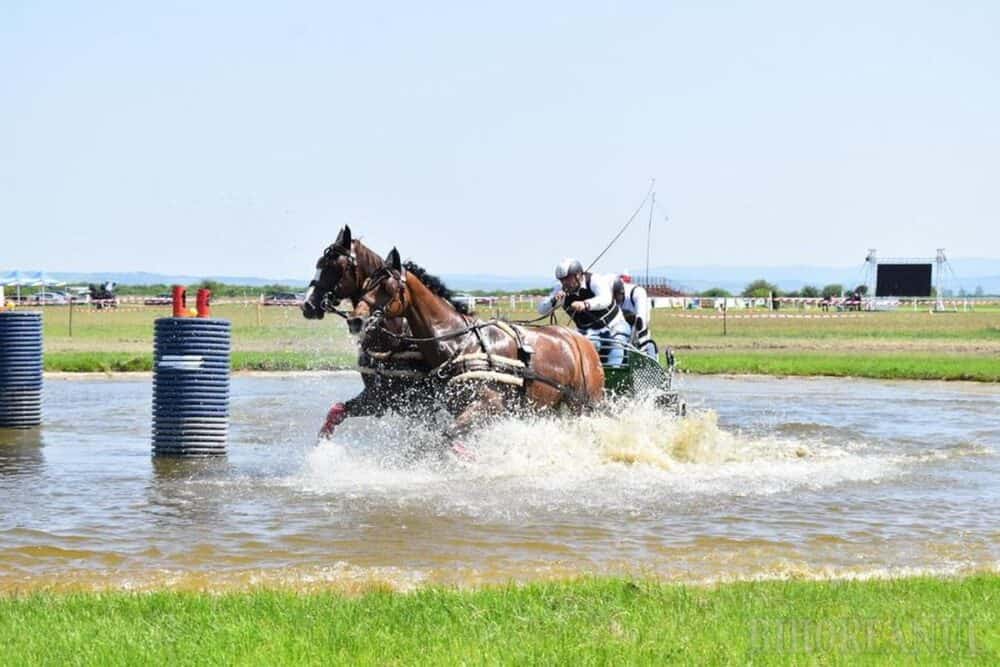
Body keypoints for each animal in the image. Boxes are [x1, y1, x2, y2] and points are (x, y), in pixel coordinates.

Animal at [348, 248, 604, 440]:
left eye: (387, 287)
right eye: (367, 284)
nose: (355, 320)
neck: (458, 342)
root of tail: (583, 342)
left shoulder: (489, 406)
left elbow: (447, 436)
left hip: (585, 404)